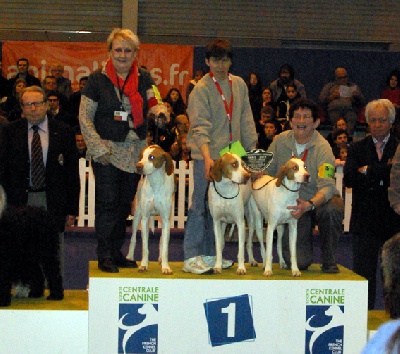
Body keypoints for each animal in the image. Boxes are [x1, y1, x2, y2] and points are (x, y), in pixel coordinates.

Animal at [125, 144, 175, 274]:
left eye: (151, 157)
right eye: (141, 156)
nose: (138, 166)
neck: (155, 182)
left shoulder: (166, 220)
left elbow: (165, 246)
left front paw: (166, 267)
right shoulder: (145, 218)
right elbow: (144, 247)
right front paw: (143, 265)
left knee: (162, 239)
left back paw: (161, 259)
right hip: (137, 216)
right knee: (133, 238)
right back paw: (130, 256)